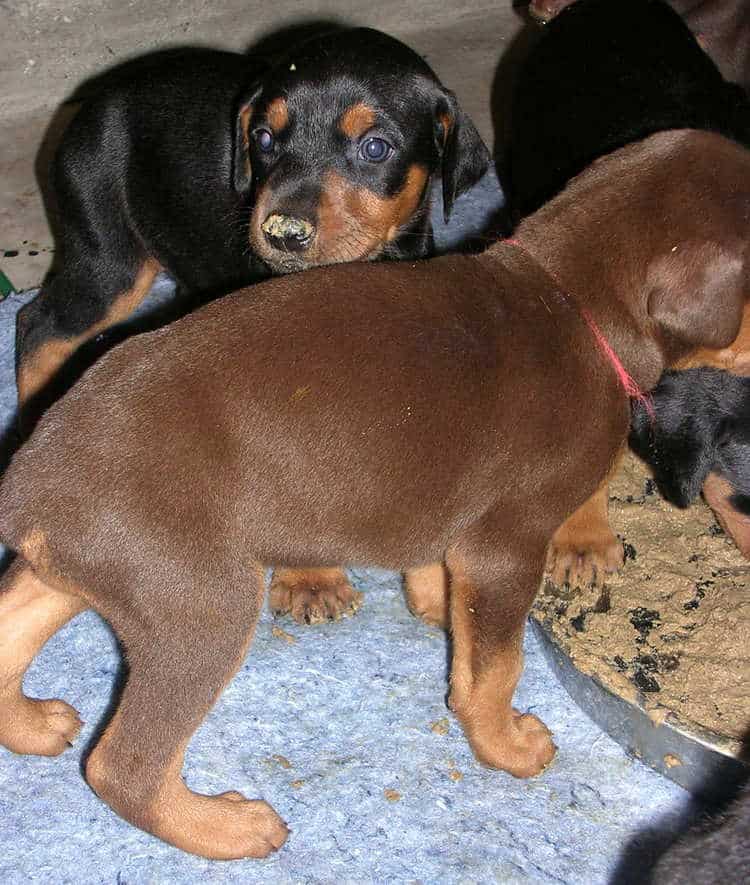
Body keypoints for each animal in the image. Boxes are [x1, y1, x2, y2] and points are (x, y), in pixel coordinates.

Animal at [19, 29, 494, 424]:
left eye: (375, 148)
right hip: (109, 259)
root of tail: (86, 108)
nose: (284, 234)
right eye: (263, 138)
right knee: (37, 327)